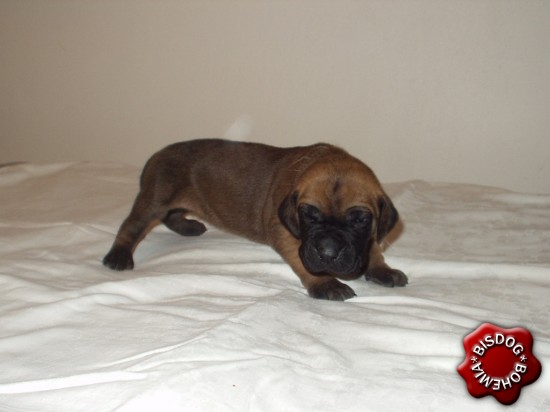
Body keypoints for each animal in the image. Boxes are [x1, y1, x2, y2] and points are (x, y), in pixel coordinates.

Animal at [103, 139, 407, 300]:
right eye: (309, 215)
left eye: (359, 220)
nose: (329, 253)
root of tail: (156, 155)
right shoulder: (287, 234)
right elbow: (304, 261)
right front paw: (326, 283)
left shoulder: (369, 233)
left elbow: (374, 248)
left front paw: (381, 269)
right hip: (154, 198)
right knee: (132, 226)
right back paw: (118, 256)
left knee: (172, 215)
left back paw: (188, 226)